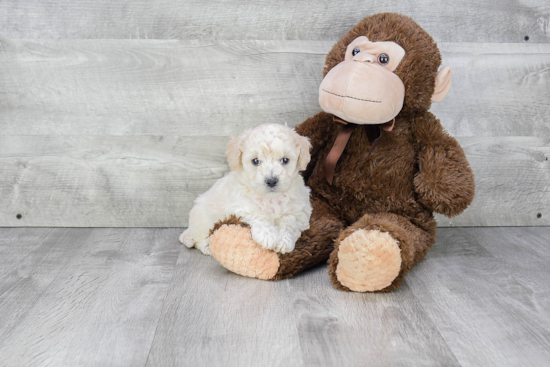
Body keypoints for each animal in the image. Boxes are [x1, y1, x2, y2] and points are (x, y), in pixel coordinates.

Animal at [179, 123, 312, 256]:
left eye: (285, 160)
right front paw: (267, 236)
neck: (270, 199)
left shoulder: (301, 210)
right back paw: (207, 246)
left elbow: (289, 221)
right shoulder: (240, 206)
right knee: (199, 239)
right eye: (255, 161)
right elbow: (258, 214)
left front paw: (284, 241)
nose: (271, 181)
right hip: (203, 220)